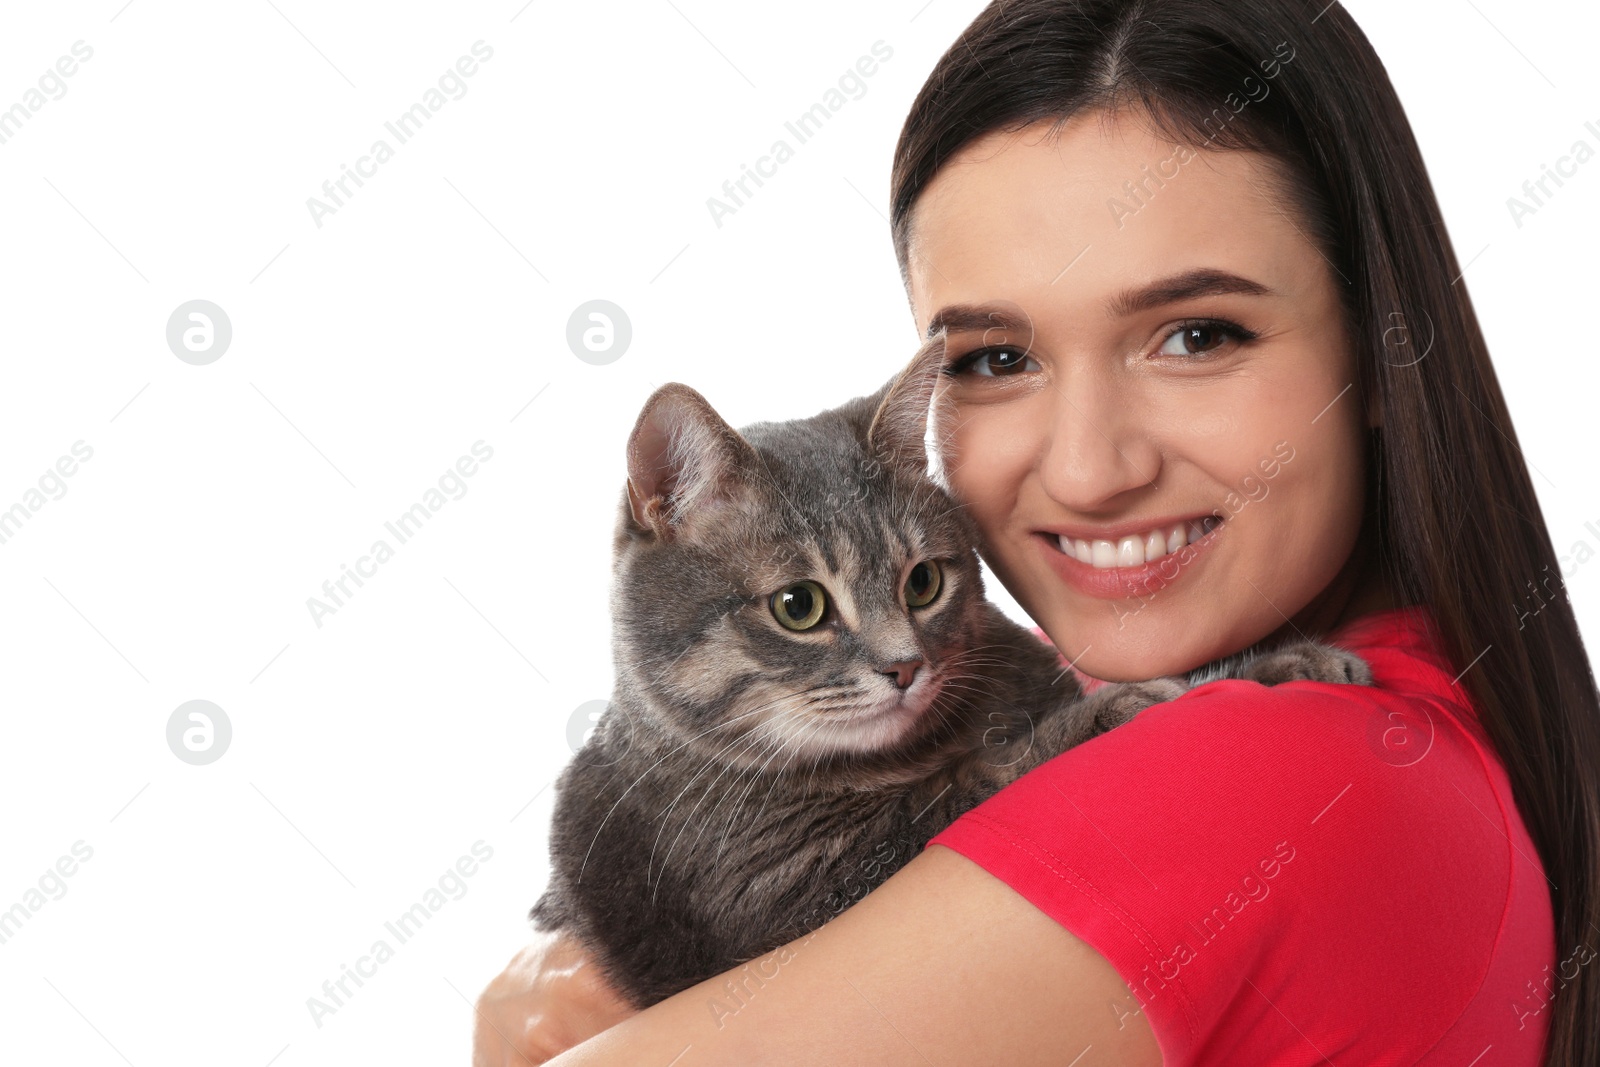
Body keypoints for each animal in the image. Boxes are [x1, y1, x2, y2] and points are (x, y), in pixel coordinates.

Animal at [528, 348, 1376, 1011]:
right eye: (799, 606)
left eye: (924, 582)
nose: (904, 665)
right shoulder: (790, 893)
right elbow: (979, 779)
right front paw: (1113, 709)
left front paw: (1284, 660)